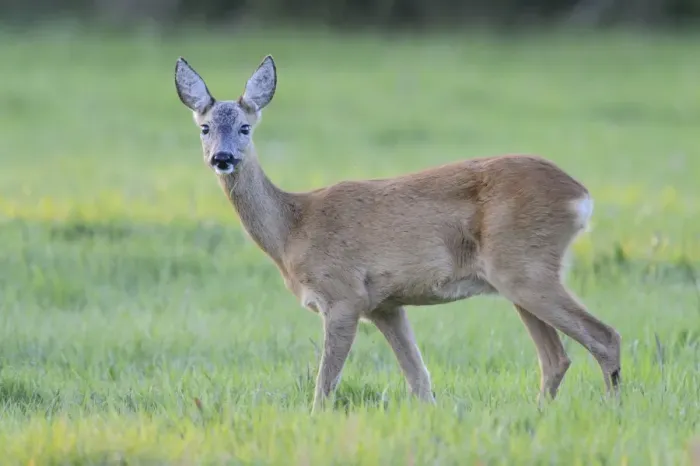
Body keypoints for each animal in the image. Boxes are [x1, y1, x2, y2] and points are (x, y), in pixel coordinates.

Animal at [174, 54, 622, 413]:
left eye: (245, 127)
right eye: (205, 127)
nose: (222, 158)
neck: (292, 230)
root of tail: (580, 196)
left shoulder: (343, 295)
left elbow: (325, 384)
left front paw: (314, 421)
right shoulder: (384, 304)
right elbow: (419, 380)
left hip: (524, 266)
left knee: (604, 336)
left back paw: (611, 409)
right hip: (515, 277)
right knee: (556, 358)